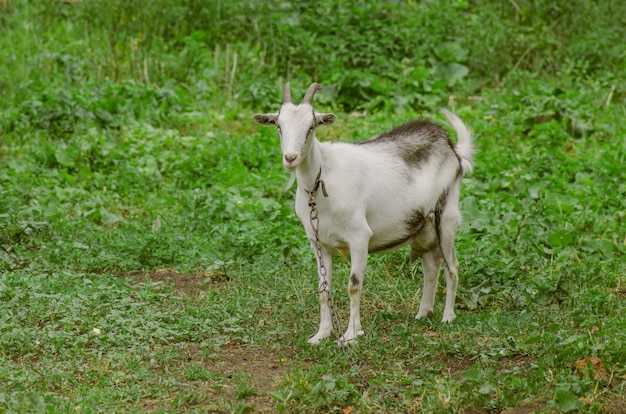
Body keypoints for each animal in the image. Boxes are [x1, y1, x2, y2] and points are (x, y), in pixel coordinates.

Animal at [251, 82, 470, 344]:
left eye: (311, 126)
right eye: (279, 126)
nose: (290, 158)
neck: (322, 178)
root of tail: (452, 147)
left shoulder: (359, 237)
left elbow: (354, 285)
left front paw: (351, 335)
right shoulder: (319, 243)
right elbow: (323, 288)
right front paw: (321, 334)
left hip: (446, 216)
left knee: (452, 266)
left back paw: (447, 317)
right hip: (423, 225)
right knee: (431, 265)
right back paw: (423, 313)